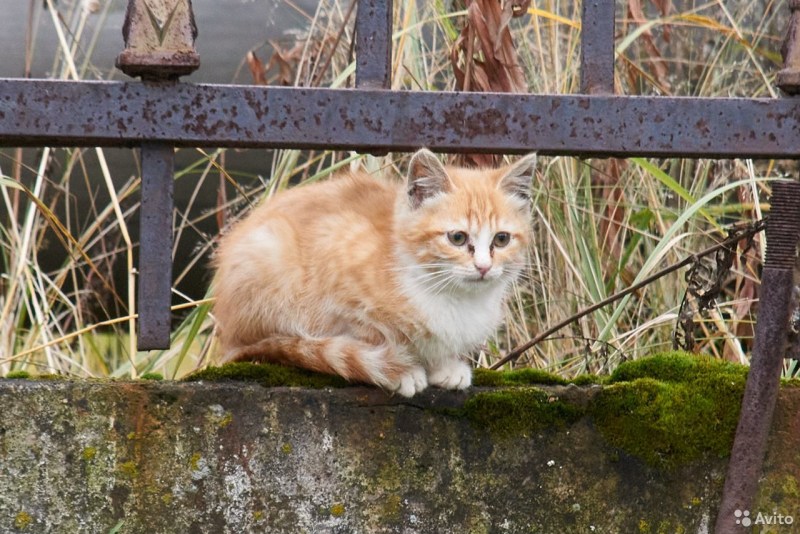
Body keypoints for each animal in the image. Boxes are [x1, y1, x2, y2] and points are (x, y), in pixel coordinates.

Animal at [212, 150, 536, 398]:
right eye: (457, 238)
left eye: (501, 239)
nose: (483, 267)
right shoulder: (336, 256)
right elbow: (365, 334)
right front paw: (401, 370)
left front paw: (444, 367)